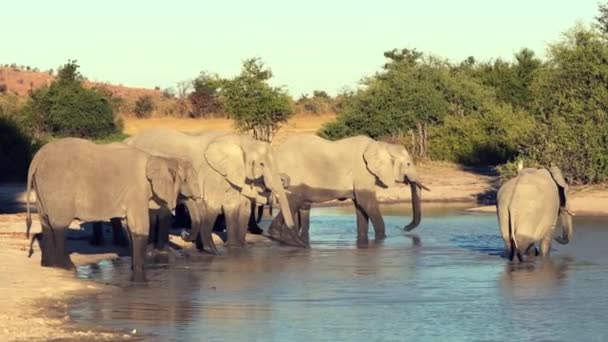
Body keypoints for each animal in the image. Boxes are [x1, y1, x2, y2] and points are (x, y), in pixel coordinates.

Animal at [24, 137, 185, 278]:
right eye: (183, 181)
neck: (156, 158)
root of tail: (37, 157)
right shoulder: (137, 192)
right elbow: (139, 228)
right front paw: (140, 274)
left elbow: (131, 227)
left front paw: (134, 269)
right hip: (58, 188)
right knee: (59, 227)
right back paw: (67, 267)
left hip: (42, 187)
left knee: (46, 223)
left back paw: (47, 265)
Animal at [122, 128, 296, 251]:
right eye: (261, 164)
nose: (184, 233)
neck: (242, 140)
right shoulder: (212, 172)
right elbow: (213, 204)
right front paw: (211, 250)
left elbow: (233, 205)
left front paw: (235, 248)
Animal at [266, 134, 428, 246]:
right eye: (408, 164)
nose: (405, 228)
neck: (380, 145)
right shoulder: (362, 171)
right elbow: (366, 202)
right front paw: (381, 238)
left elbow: (360, 206)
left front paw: (363, 239)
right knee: (293, 200)